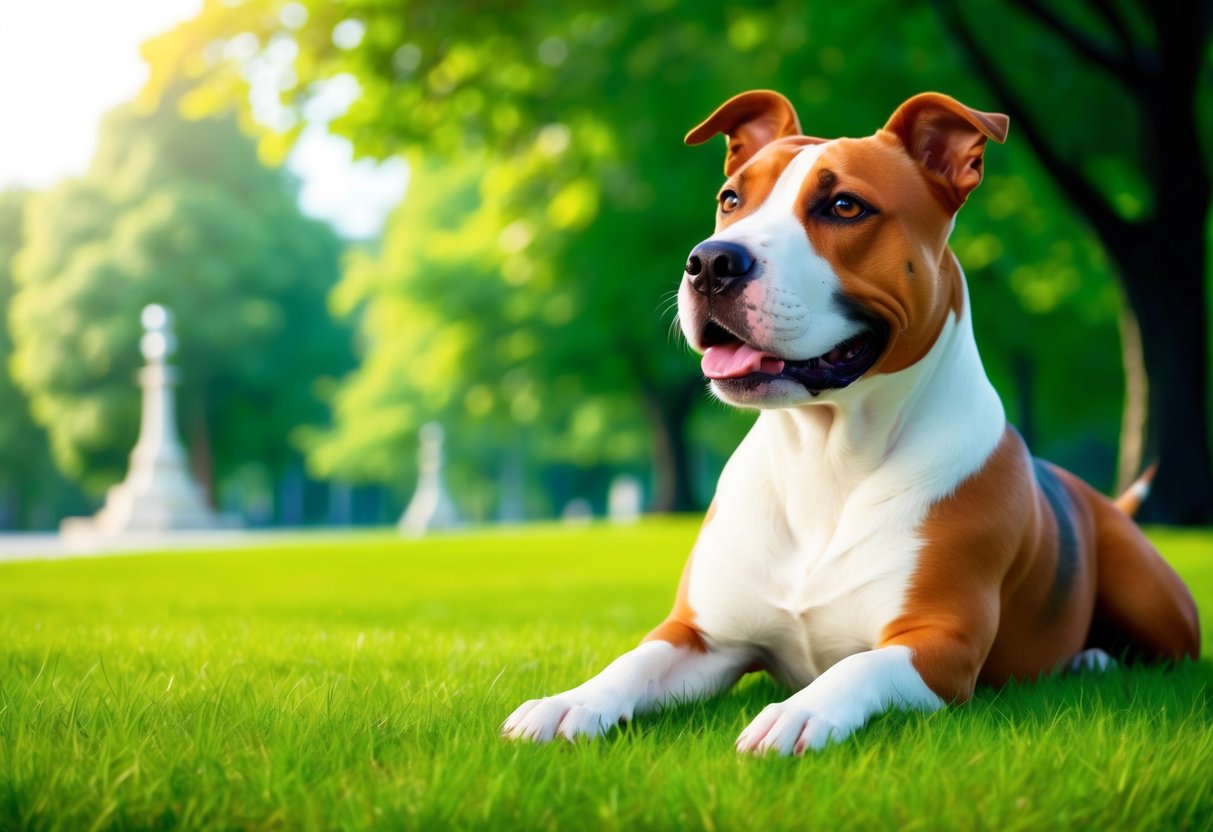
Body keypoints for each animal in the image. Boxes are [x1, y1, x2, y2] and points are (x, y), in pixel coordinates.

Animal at [499, 89, 1193, 756]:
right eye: (730, 199)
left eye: (844, 206)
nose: (712, 262)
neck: (824, 454)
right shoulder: (702, 635)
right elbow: (633, 662)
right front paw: (570, 702)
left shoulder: (938, 642)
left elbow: (856, 667)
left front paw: (798, 712)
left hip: (1155, 602)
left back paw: (1093, 659)